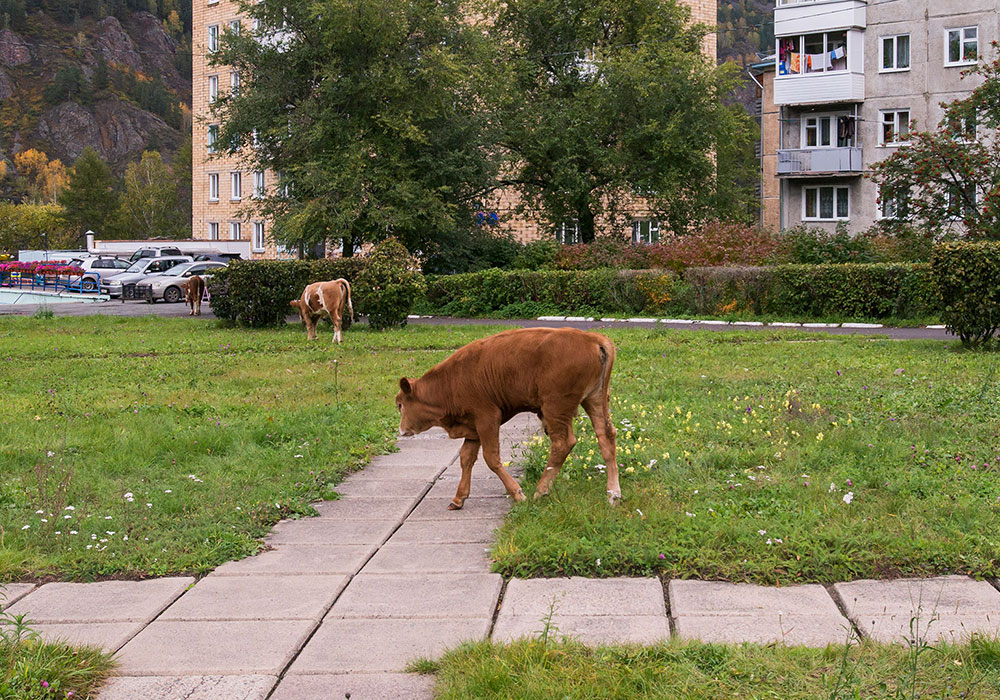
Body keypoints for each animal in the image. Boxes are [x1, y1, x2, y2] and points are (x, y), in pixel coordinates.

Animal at [396, 328, 616, 508]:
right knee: (606, 436)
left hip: (556, 407)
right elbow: (466, 458)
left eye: (400, 404)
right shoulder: (473, 428)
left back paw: (540, 492)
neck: (451, 381)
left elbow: (491, 458)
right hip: (595, 399)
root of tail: (592, 338)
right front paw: (458, 499)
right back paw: (613, 495)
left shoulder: (487, 418)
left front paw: (518, 494)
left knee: (563, 443)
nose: (401, 430)